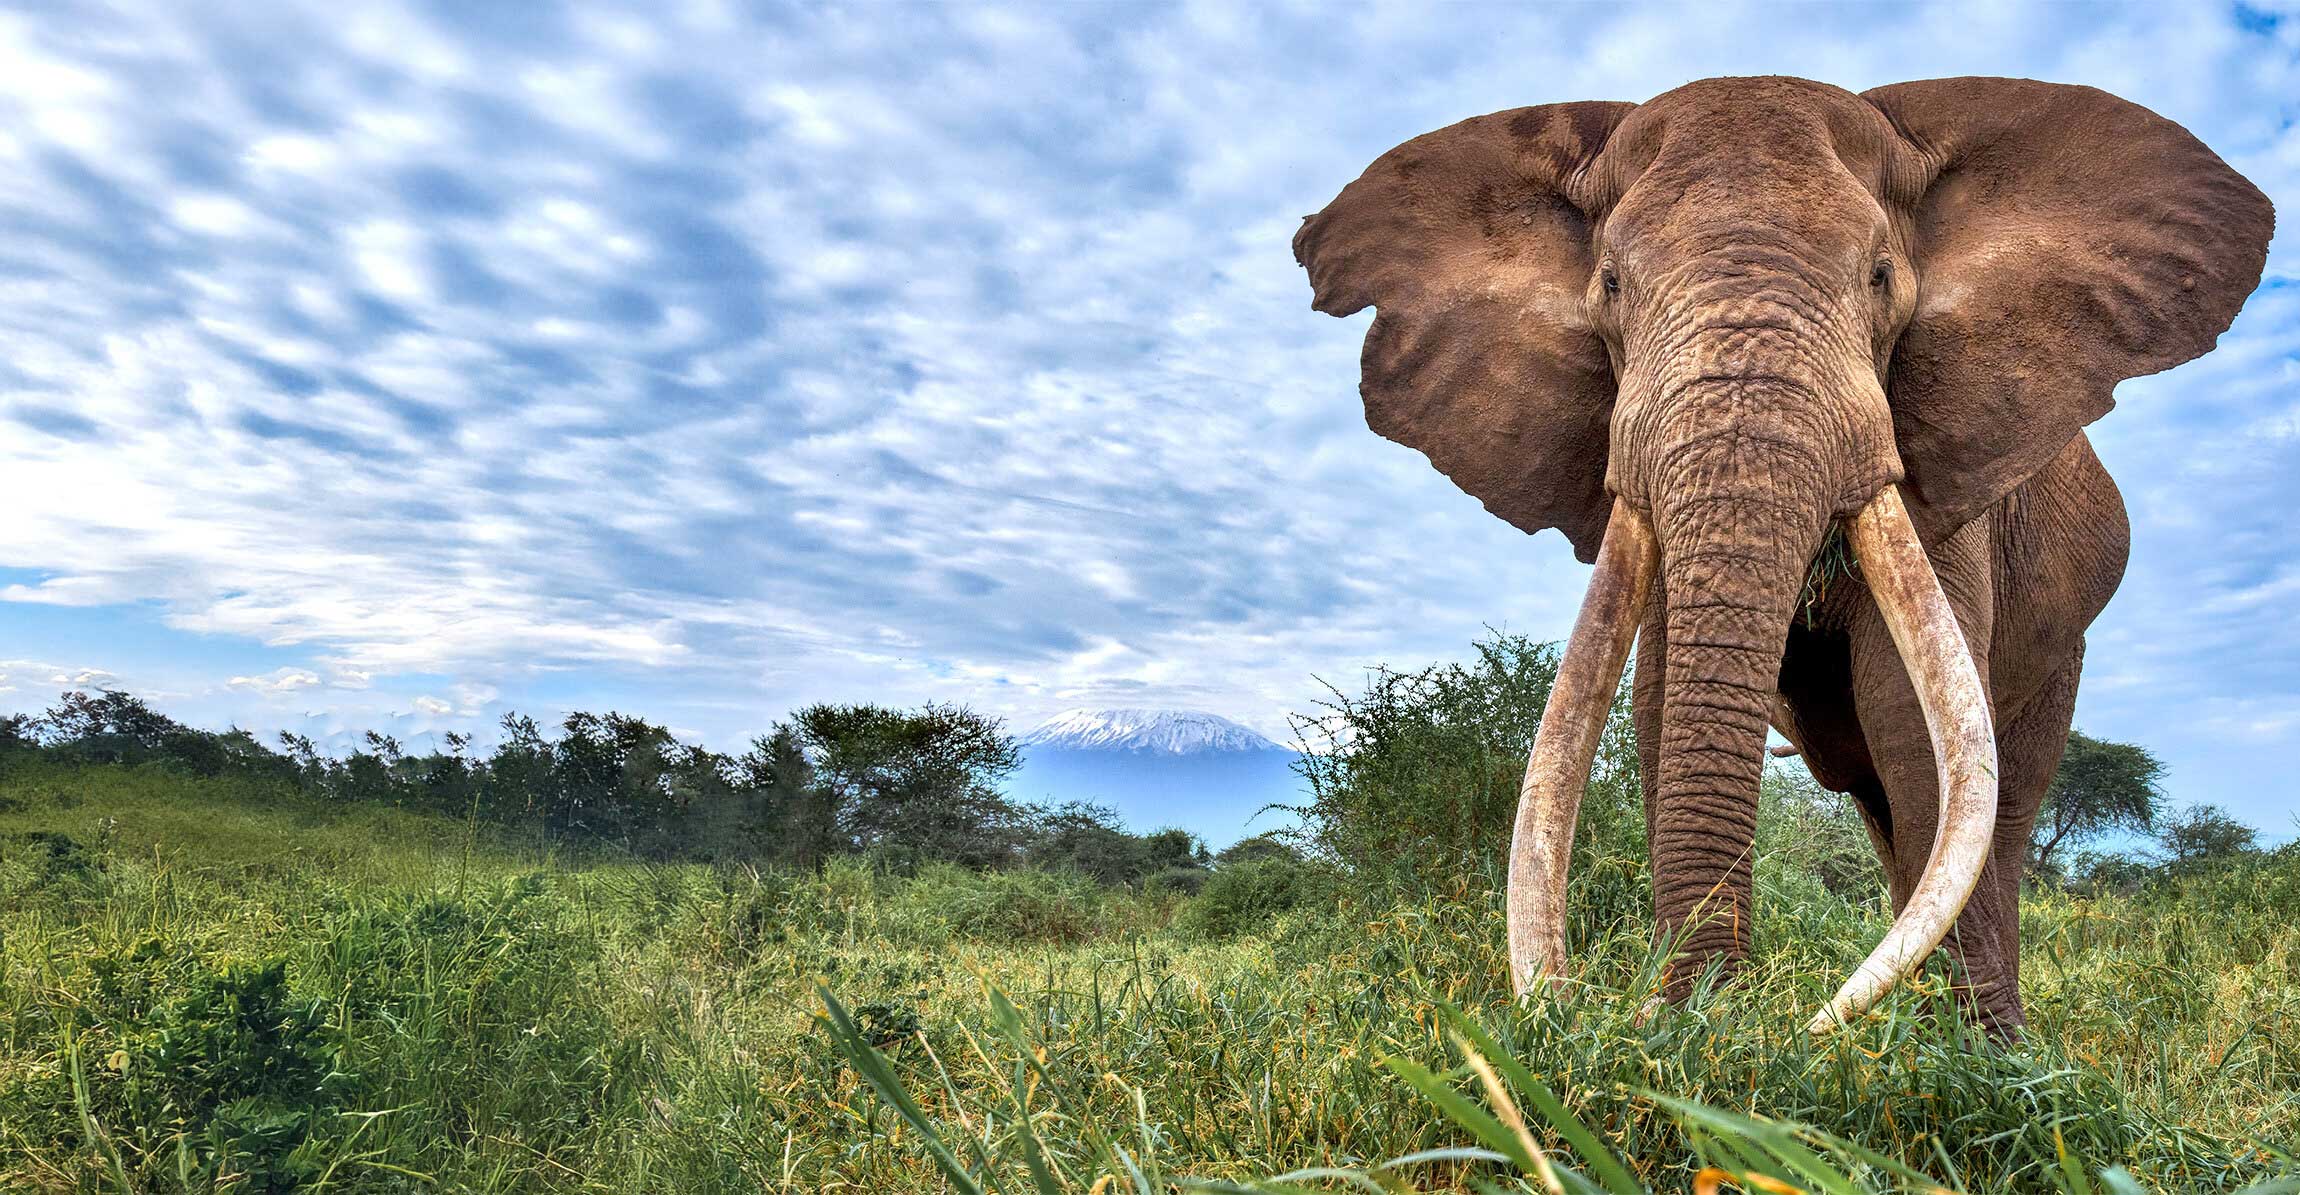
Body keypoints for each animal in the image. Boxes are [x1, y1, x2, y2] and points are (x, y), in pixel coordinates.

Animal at [1293, 76, 2273, 1035]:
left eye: (1881, 277)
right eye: (1609, 286)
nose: (1682, 1020)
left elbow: (1901, 701)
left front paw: (1972, 1059)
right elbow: (1662, 698)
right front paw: (1700, 1028)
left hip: (2064, 642)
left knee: (2002, 801)